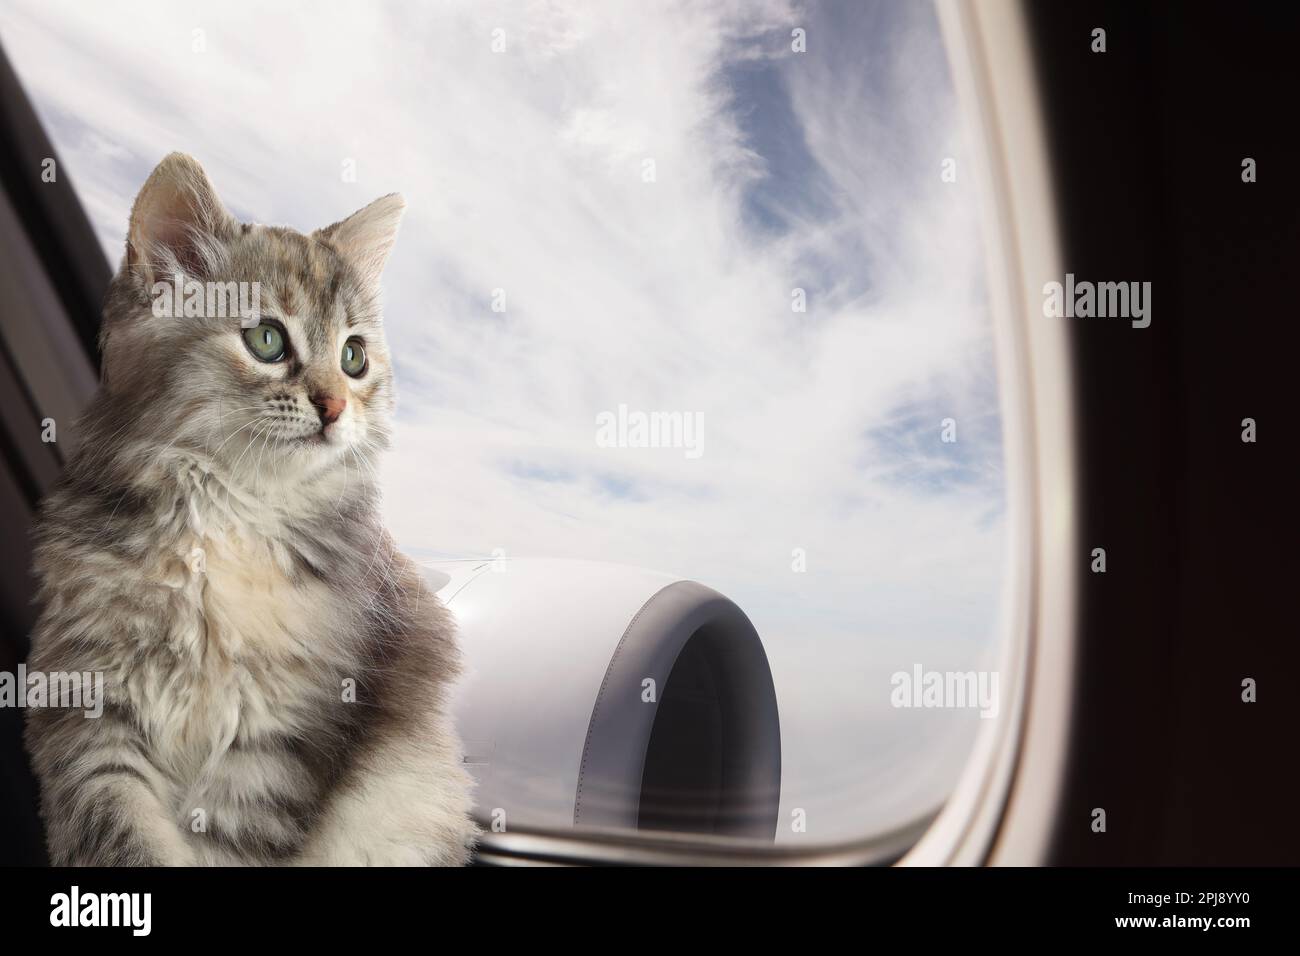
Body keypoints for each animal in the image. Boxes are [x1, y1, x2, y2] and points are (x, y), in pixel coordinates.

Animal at [22, 151, 478, 868]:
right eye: (266, 340)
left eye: (354, 357)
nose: (334, 406)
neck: (223, 518)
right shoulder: (91, 713)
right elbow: (125, 839)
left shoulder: (280, 737)